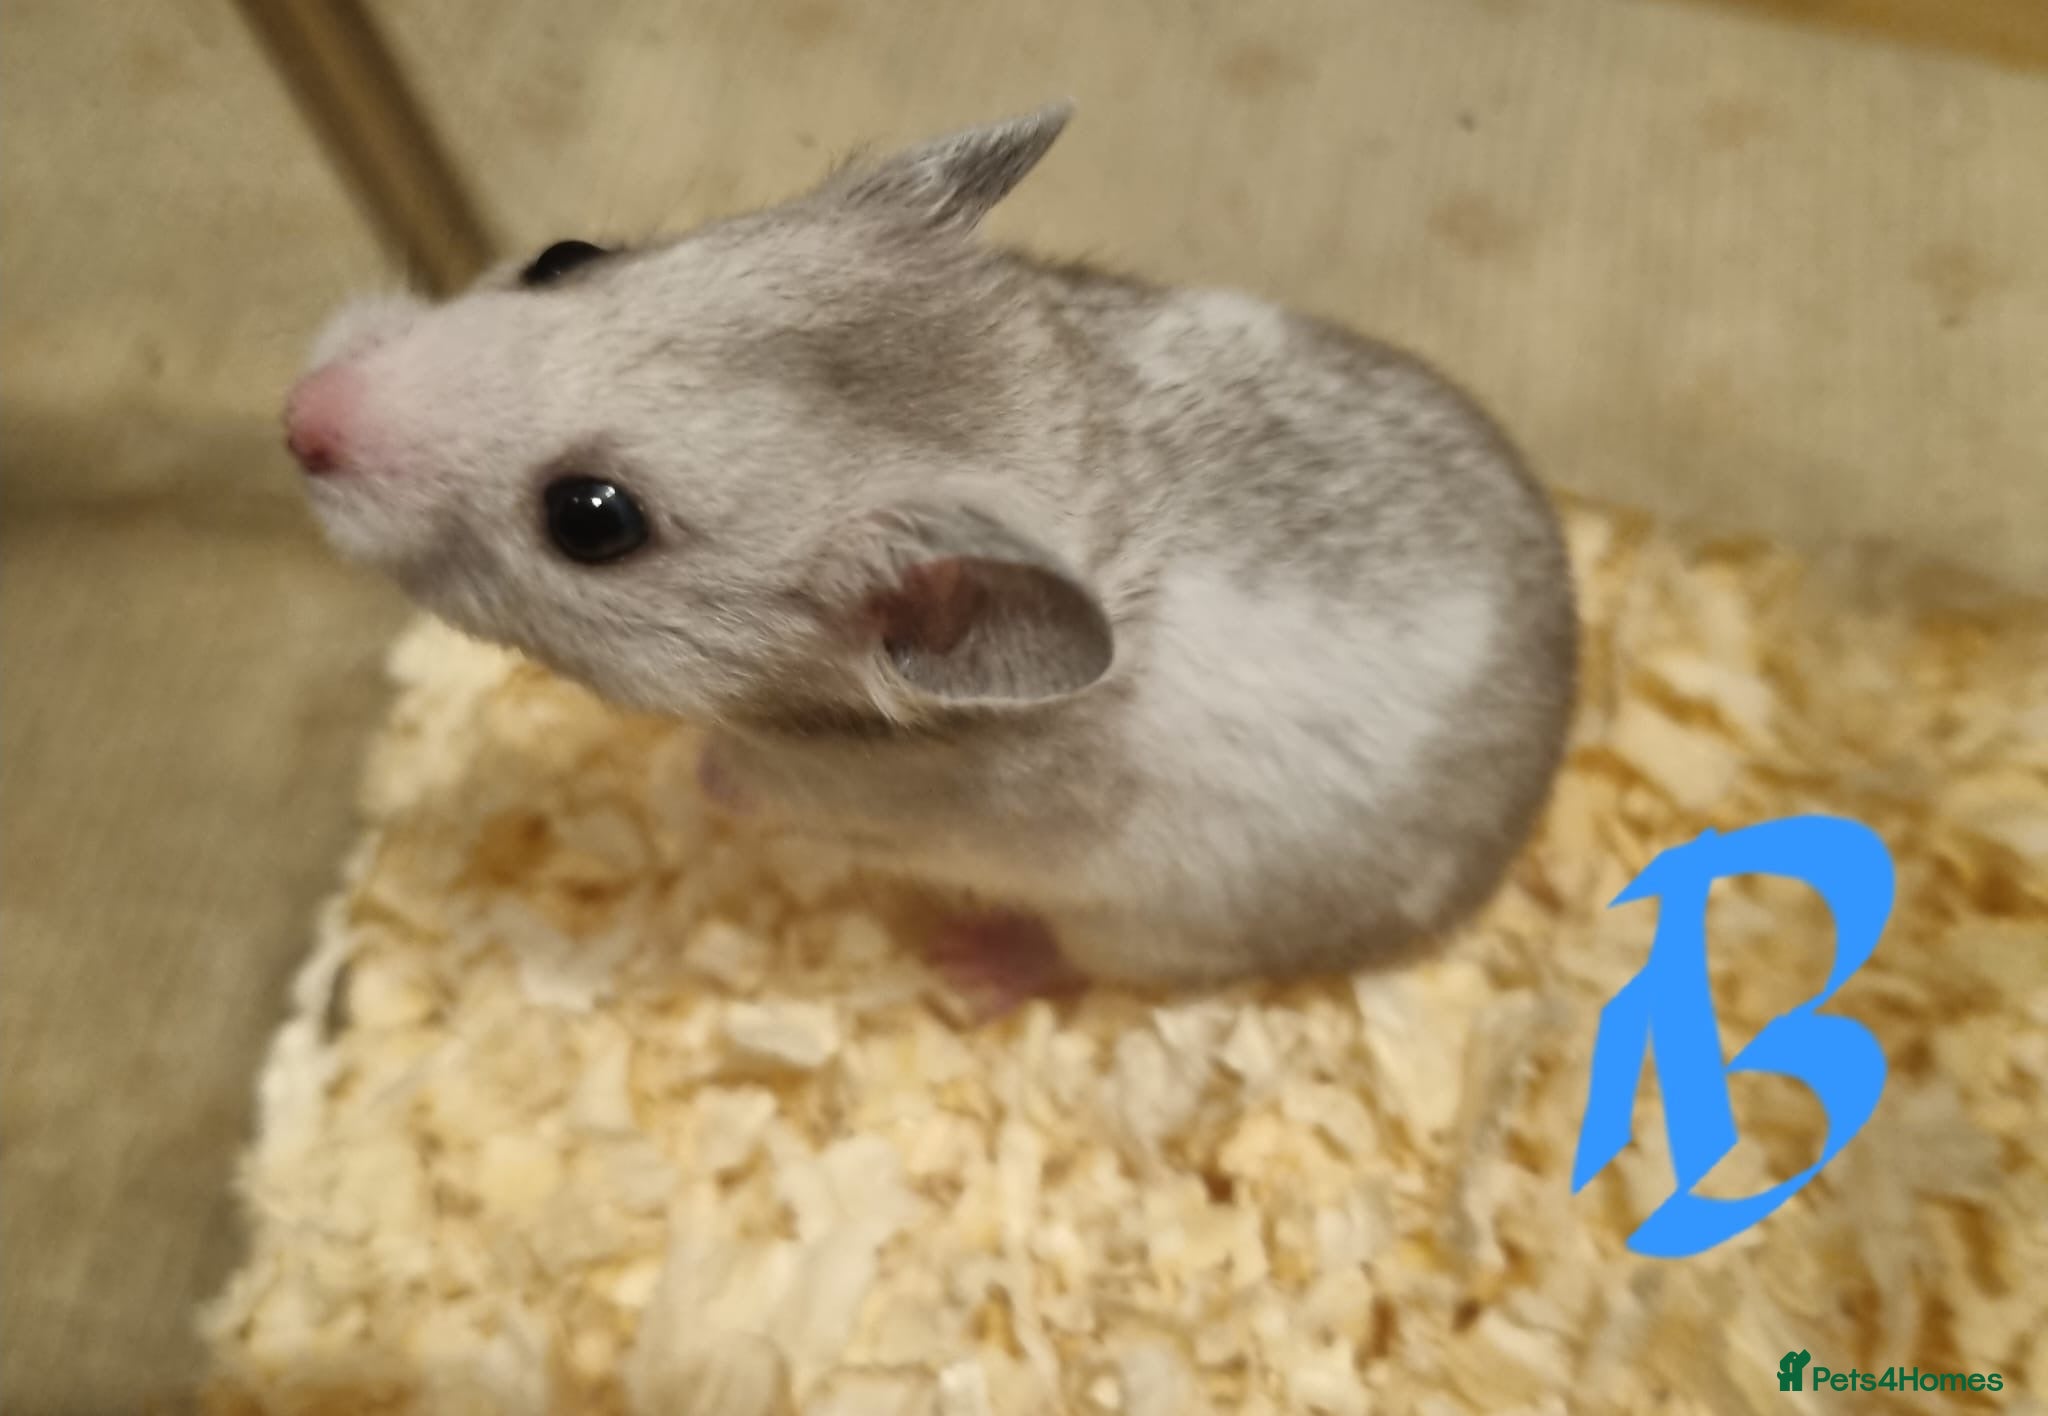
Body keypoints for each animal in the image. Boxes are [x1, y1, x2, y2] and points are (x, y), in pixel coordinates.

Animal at [284, 103, 1578, 1016]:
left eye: (591, 519)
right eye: (561, 253)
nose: (298, 415)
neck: (1073, 443)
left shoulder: (843, 790)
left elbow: (736, 777)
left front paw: (684, 779)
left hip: (1146, 925)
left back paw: (970, 964)